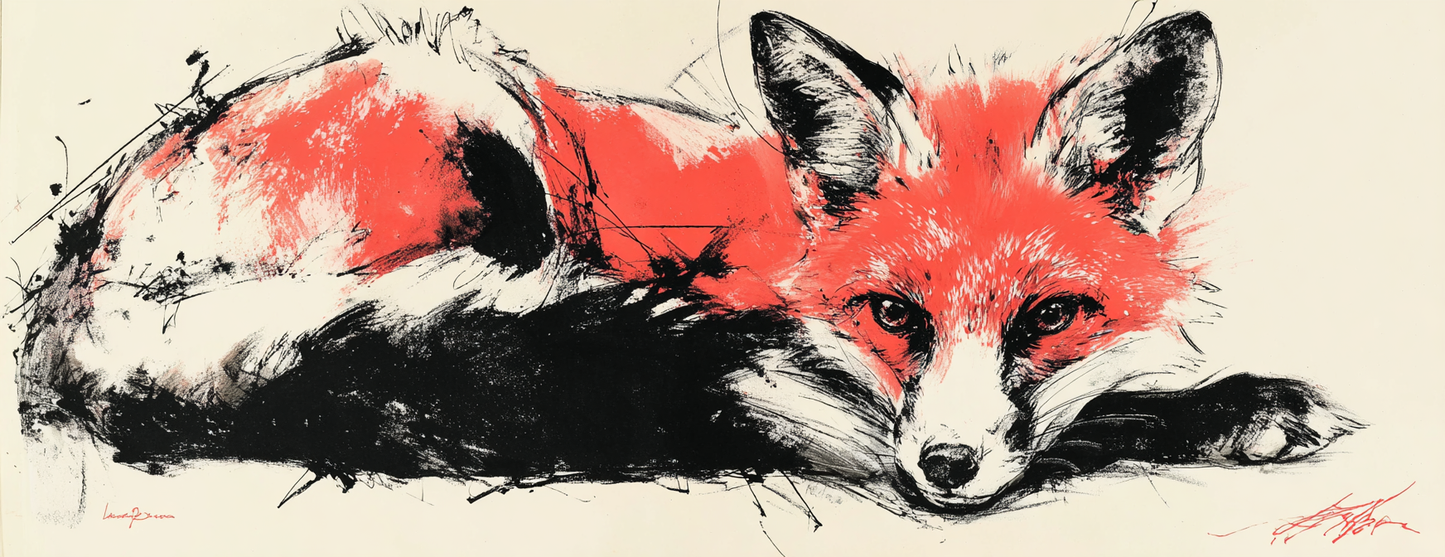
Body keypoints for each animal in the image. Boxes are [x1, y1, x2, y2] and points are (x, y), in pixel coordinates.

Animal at [17, 7, 1360, 515]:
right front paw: (1221, 407)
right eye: (891, 313)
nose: (944, 466)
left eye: (1048, 315)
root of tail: (87, 293)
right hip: (488, 130)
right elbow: (1086, 421)